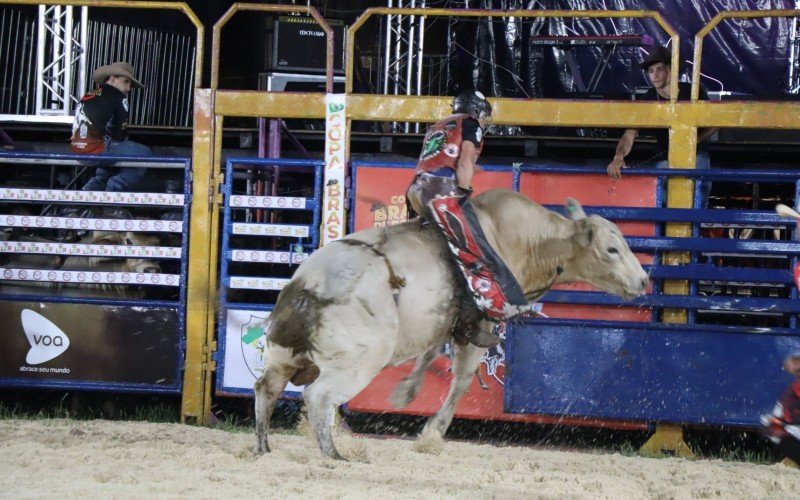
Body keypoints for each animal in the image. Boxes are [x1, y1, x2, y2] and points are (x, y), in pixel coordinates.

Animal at [256, 189, 648, 458]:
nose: (643, 280)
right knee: (318, 396)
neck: (523, 241)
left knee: (266, 388)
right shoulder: (479, 326)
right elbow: (461, 380)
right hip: (359, 361)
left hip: (282, 353)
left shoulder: (444, 323)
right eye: (612, 249)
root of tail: (312, 283)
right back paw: (334, 454)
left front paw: (407, 391)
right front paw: (432, 432)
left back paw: (264, 447)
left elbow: (430, 354)